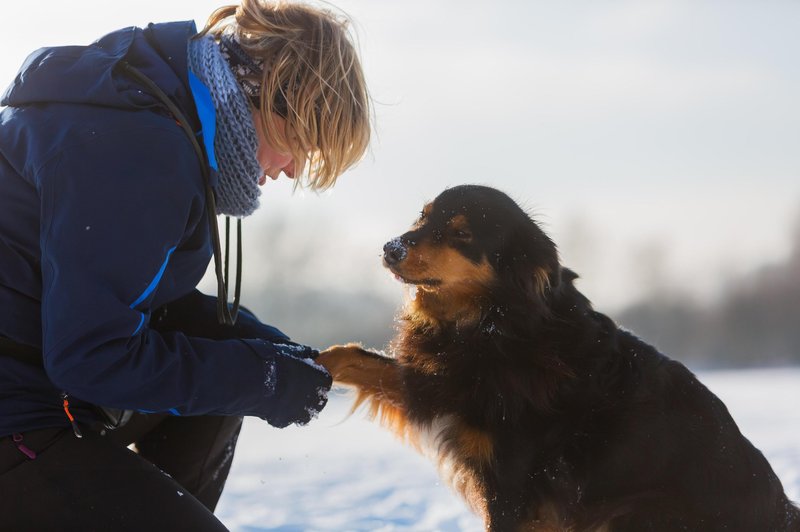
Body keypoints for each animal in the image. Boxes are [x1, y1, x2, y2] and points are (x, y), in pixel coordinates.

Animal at [320, 185, 800, 528]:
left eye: (461, 233)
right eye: (422, 217)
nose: (391, 248)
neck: (496, 323)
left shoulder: (512, 486)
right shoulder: (441, 384)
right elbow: (353, 355)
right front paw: (310, 365)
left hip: (636, 513)